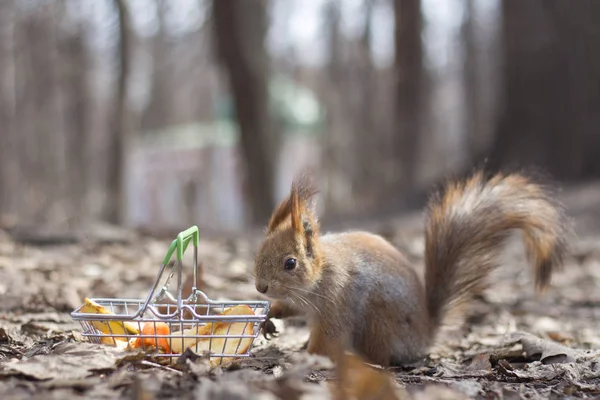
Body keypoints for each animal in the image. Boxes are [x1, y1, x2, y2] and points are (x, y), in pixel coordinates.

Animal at [251, 170, 568, 368]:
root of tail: (426, 333)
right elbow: (289, 308)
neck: (317, 278)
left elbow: (327, 337)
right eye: (258, 253)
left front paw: (304, 357)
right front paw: (269, 317)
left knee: (381, 358)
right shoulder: (300, 300)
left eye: (290, 263)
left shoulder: (336, 300)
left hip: (378, 320)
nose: (261, 287)